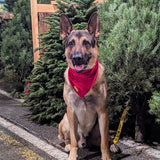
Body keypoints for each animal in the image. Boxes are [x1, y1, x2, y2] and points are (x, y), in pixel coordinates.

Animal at [58, 12, 117, 160]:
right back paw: (68, 146)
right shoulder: (71, 111)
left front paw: (106, 156)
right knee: (68, 139)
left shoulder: (103, 112)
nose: (77, 58)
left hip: (99, 127)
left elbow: (104, 143)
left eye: (86, 43)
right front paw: (72, 155)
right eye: (71, 43)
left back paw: (113, 145)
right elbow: (73, 140)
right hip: (65, 120)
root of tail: (84, 140)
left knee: (107, 138)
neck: (83, 78)